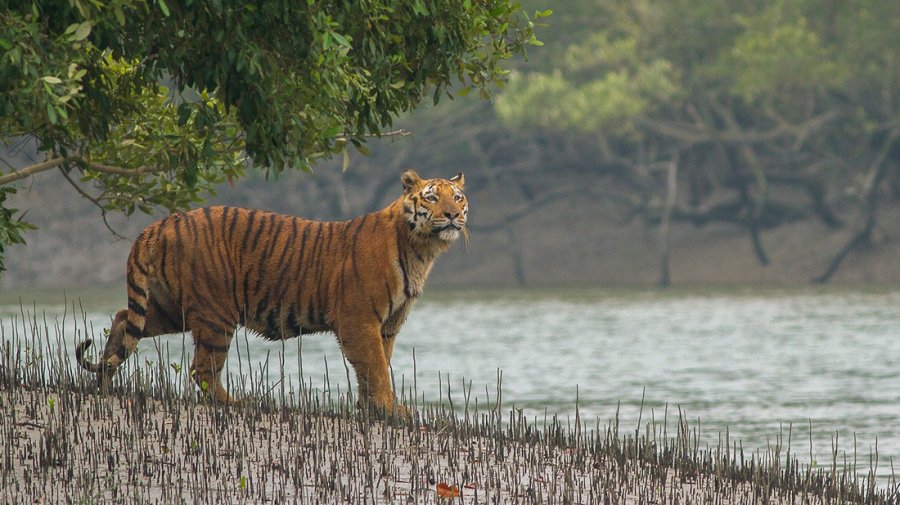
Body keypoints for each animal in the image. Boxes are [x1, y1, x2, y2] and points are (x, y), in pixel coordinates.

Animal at [75, 169, 472, 414]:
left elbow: (373, 368)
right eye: (431, 198)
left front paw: (372, 409)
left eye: (458, 197)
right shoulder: (359, 321)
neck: (421, 249)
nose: (453, 215)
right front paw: (391, 409)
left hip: (170, 307)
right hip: (216, 313)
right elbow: (376, 368)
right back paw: (236, 403)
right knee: (202, 369)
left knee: (123, 319)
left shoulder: (387, 326)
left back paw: (104, 382)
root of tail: (161, 223)